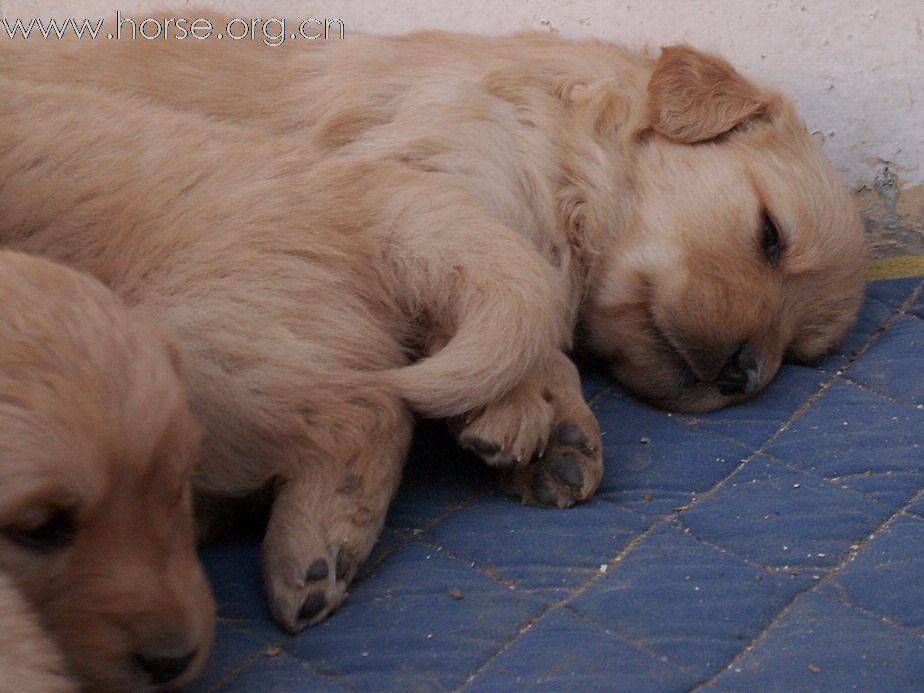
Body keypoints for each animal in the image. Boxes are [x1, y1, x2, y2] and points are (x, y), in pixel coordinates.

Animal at [0, 28, 868, 632]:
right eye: (770, 236)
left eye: (801, 354)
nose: (744, 373)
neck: (564, 150)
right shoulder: (445, 177)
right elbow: (525, 304)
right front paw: (536, 416)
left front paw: (552, 436)